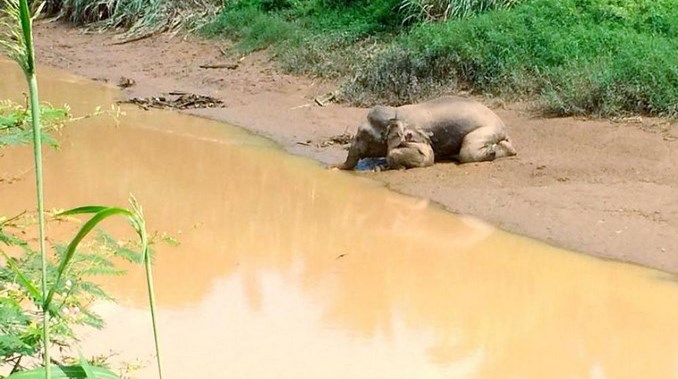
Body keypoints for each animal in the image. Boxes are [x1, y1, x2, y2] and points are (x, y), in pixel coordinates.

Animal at [338, 96, 516, 171]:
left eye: (362, 136)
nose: (333, 168)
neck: (394, 112)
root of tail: (503, 126)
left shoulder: (416, 133)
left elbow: (427, 155)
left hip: (486, 129)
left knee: (467, 151)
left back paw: (492, 152)